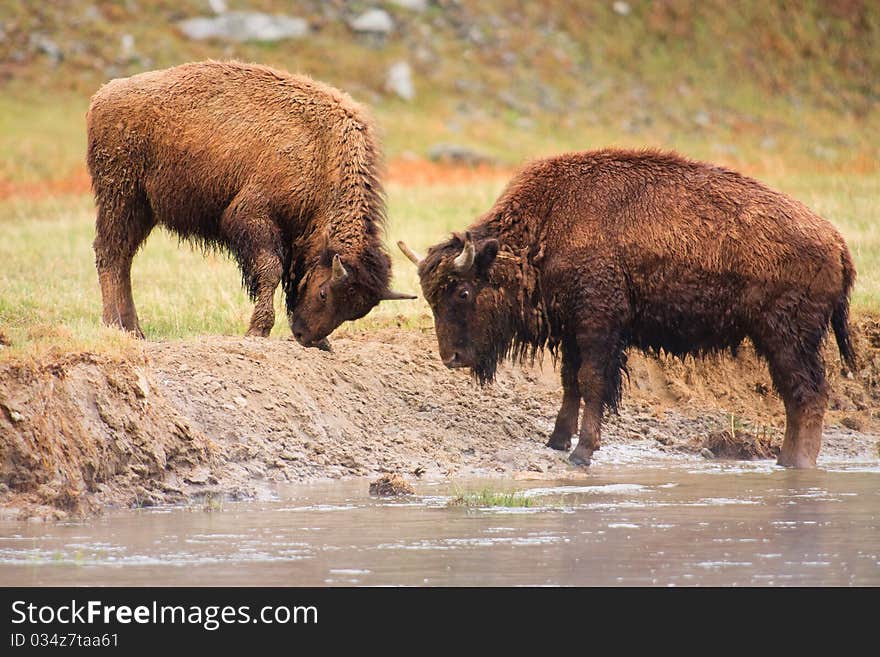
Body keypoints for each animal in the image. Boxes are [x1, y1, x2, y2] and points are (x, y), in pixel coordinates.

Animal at [87, 59, 410, 346]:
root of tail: (102, 95)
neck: (324, 154)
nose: (306, 338)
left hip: (143, 210)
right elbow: (270, 270)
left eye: (355, 312)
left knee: (124, 258)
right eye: (323, 294)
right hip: (120, 196)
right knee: (110, 253)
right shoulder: (252, 217)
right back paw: (115, 325)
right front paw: (258, 330)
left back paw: (134, 330)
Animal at [402, 149, 856, 466]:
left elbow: (591, 383)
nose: (451, 358)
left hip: (787, 338)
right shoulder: (574, 331)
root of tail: (835, 240)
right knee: (798, 396)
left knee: (806, 394)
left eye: (462, 292)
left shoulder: (598, 327)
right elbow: (569, 383)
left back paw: (794, 463)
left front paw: (582, 452)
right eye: (432, 297)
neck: (545, 229)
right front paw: (556, 441)